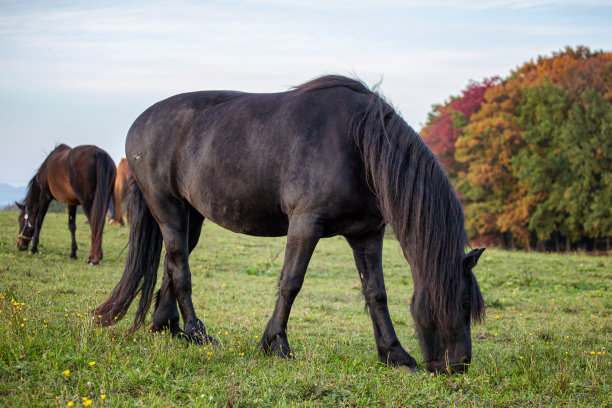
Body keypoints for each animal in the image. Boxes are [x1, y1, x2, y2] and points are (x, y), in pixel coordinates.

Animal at [95, 76, 486, 372]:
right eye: (463, 303)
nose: (459, 365)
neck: (359, 143)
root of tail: (139, 123)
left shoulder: (367, 234)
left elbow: (376, 293)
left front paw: (395, 354)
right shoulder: (306, 224)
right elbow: (291, 283)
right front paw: (276, 344)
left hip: (192, 217)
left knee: (171, 264)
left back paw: (169, 328)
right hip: (169, 209)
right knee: (180, 268)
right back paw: (197, 332)